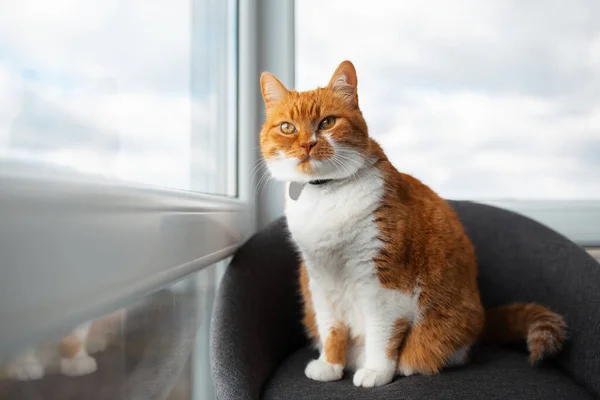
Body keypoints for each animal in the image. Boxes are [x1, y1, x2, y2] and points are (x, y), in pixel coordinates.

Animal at [258, 60, 568, 388]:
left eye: (328, 122)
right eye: (287, 127)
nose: (307, 144)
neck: (326, 195)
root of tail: (483, 315)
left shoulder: (383, 283)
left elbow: (381, 333)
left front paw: (376, 371)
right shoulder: (319, 281)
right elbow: (331, 327)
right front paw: (330, 365)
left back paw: (406, 365)